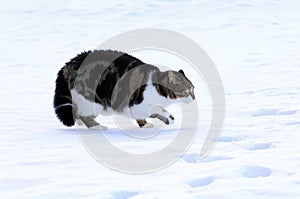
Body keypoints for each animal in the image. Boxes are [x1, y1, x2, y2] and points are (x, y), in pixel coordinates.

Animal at [53, 50, 195, 131]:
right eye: (187, 90)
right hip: (94, 101)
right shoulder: (136, 105)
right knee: (83, 115)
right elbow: (157, 109)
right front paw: (168, 117)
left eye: (193, 89)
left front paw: (145, 124)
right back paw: (97, 126)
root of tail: (70, 64)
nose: (194, 98)